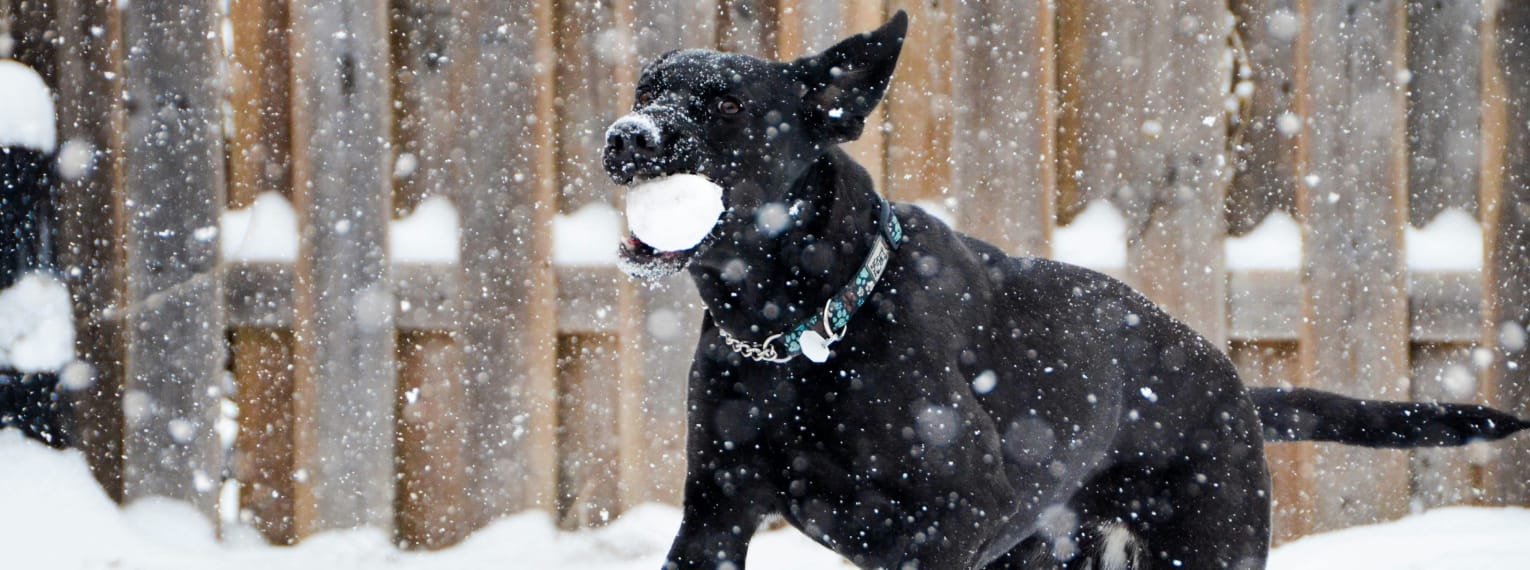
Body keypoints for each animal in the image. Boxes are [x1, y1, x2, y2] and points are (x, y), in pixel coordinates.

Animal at [605, 11, 1530, 565]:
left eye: (728, 106)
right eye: (647, 88)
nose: (625, 137)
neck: (803, 330)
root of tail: (1229, 378)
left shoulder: (952, 518)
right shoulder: (716, 510)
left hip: (1207, 541)